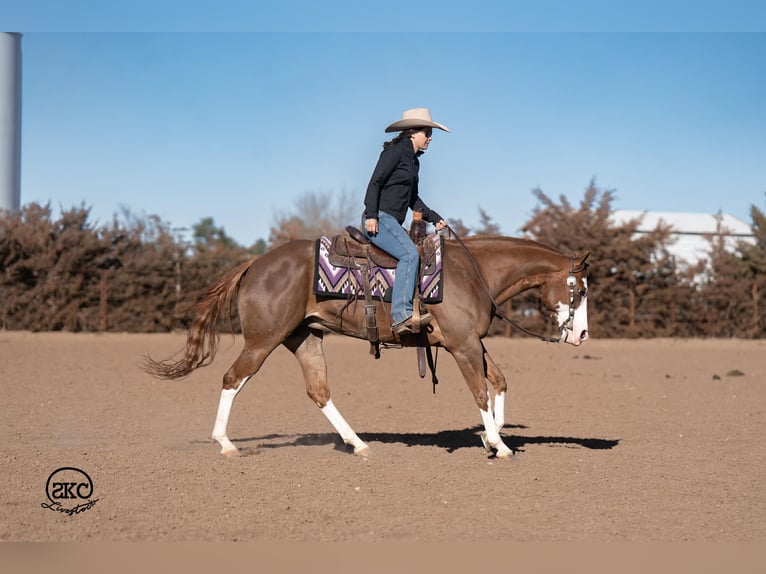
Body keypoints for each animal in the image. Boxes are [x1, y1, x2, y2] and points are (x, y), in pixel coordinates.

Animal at [144, 233, 590, 459]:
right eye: (582, 289)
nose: (582, 335)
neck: (472, 272)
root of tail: (255, 264)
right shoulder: (463, 345)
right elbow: (481, 391)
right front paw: (498, 444)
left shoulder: (470, 343)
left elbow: (499, 382)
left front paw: (490, 437)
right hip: (262, 340)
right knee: (232, 378)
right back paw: (225, 444)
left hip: (304, 338)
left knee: (318, 391)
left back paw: (358, 444)